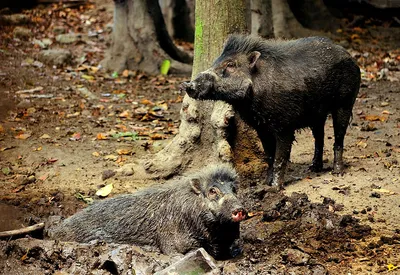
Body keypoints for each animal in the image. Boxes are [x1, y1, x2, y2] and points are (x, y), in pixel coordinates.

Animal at [183, 34, 360, 190]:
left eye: (230, 64)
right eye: (215, 62)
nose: (188, 85)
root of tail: (350, 56)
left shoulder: (285, 126)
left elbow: (280, 157)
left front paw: (274, 189)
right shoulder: (261, 127)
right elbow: (269, 155)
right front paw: (265, 184)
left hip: (345, 102)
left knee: (338, 138)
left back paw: (337, 172)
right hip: (317, 113)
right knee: (319, 137)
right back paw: (313, 168)